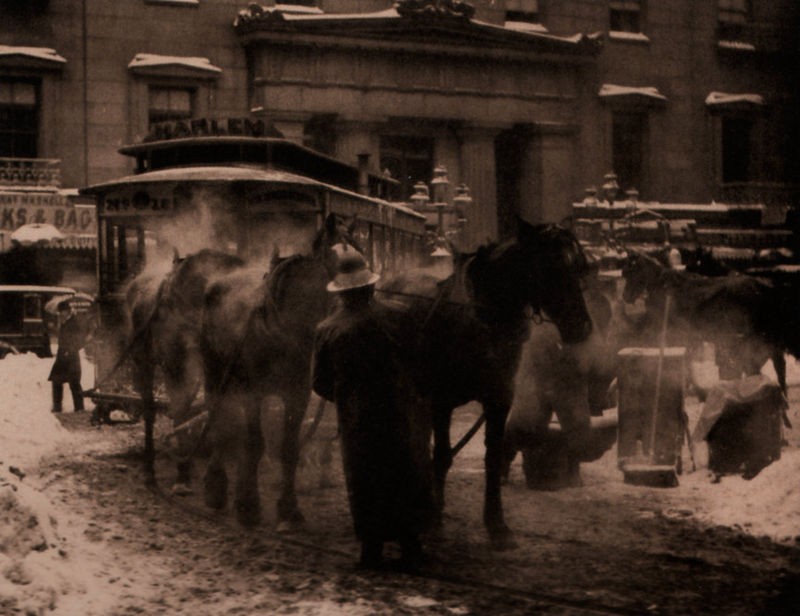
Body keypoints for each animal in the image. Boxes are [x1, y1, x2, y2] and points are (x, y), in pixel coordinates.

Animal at [122, 248, 244, 484]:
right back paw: (150, 467)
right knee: (149, 405)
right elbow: (180, 406)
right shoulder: (175, 362)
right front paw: (183, 476)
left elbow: (218, 409)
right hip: (143, 359)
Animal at [197, 214, 356, 528]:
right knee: (219, 420)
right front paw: (248, 506)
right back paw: (216, 487)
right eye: (341, 256)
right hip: (215, 374)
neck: (283, 324)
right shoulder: (254, 394)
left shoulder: (297, 395)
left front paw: (289, 509)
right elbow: (255, 444)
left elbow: (288, 449)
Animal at [376, 218, 592, 548]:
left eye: (576, 266)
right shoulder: (442, 401)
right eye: (549, 267)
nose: (581, 327)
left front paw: (497, 525)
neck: (480, 319)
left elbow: (492, 457)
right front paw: (435, 522)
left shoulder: (498, 400)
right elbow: (442, 456)